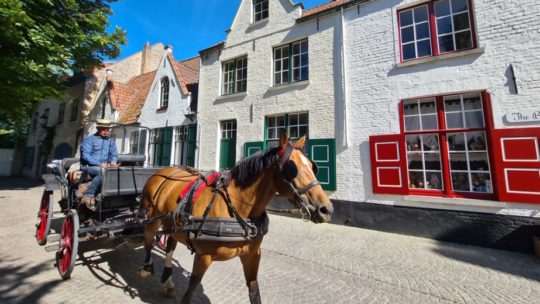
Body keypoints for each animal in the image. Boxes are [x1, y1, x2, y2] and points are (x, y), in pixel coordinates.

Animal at [138, 134, 334, 304]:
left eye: (313, 166)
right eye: (291, 168)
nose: (326, 209)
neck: (238, 207)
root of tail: (163, 171)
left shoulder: (252, 255)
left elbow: (254, 291)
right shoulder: (203, 256)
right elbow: (191, 290)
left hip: (173, 224)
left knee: (169, 246)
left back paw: (167, 282)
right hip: (152, 218)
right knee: (148, 239)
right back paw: (146, 268)